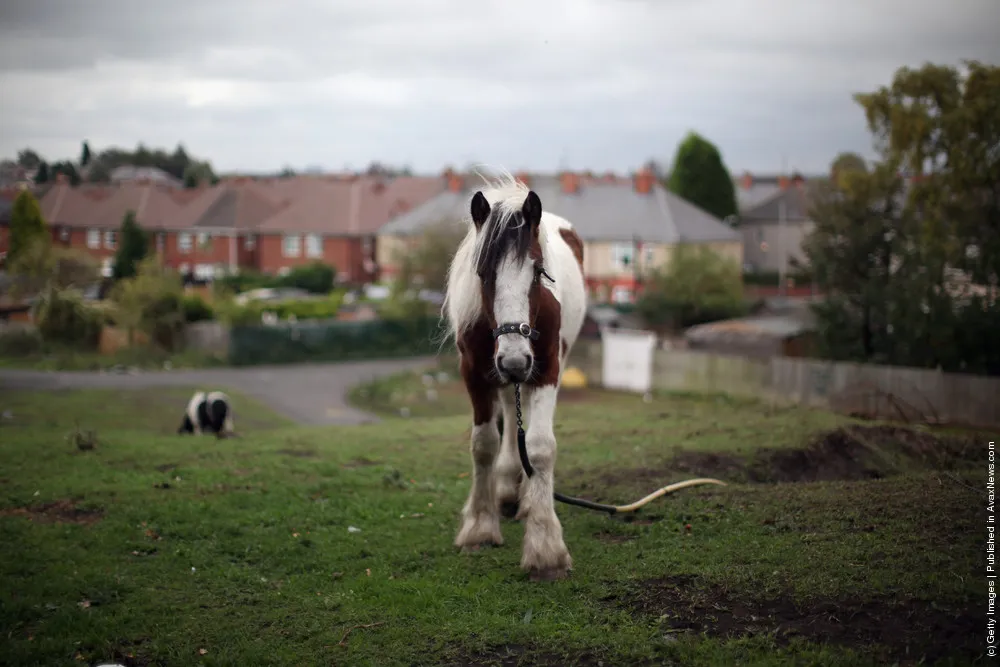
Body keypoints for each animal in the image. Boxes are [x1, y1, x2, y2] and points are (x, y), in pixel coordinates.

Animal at [442, 171, 587, 582]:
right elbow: (484, 444)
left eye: (539, 272)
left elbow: (539, 447)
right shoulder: (475, 373)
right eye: (482, 272)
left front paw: (545, 546)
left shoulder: (547, 368)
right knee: (509, 406)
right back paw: (507, 488)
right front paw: (479, 527)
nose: (514, 360)